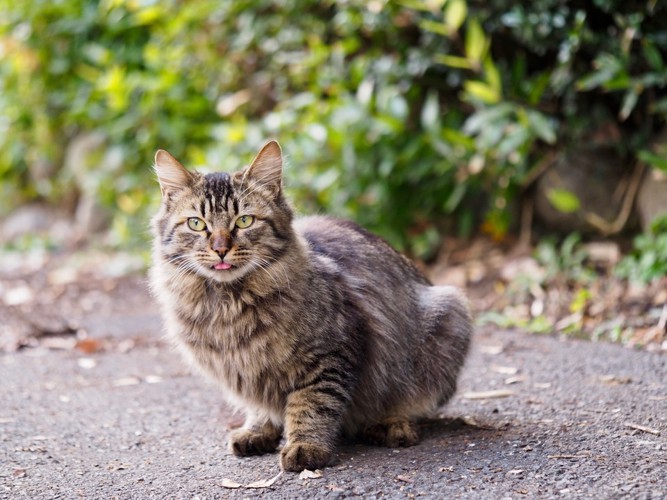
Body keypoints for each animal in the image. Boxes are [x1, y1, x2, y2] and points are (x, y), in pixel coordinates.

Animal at [150, 141, 474, 472]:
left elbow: (311, 405)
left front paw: (305, 447)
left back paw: (391, 424)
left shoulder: (330, 354)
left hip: (448, 314)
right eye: (196, 224)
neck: (227, 305)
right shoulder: (246, 372)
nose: (220, 249)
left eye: (244, 221)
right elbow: (259, 406)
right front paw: (258, 430)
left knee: (413, 402)